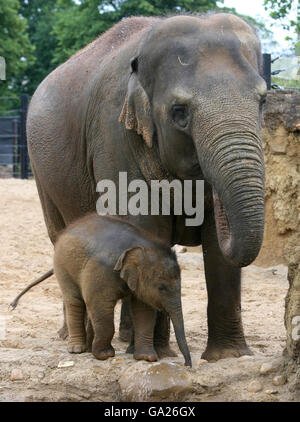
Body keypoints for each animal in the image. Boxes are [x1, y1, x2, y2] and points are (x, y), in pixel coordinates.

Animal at [53, 214, 191, 366]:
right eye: (162, 288)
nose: (187, 364)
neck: (140, 245)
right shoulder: (101, 270)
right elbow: (100, 304)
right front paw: (105, 355)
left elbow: (144, 311)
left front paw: (147, 358)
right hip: (62, 264)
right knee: (75, 301)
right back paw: (77, 349)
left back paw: (88, 349)